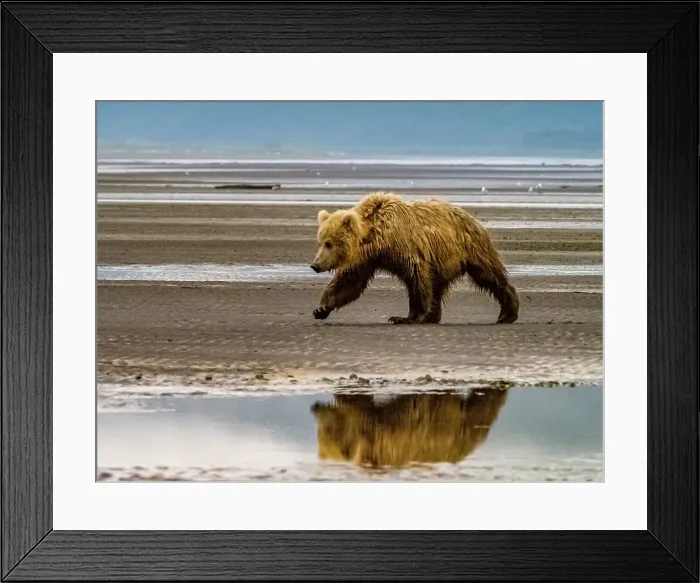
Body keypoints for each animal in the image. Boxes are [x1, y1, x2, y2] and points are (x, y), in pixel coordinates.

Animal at [310, 191, 519, 324]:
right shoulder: (366, 259)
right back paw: (433, 316)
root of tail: (472, 217)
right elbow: (349, 282)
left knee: (489, 275)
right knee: (437, 287)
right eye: (320, 241)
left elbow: (417, 277)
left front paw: (404, 317)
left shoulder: (406, 247)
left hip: (470, 247)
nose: (315, 265)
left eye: (329, 243)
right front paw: (321, 309)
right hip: (443, 259)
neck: (379, 238)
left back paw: (508, 313)